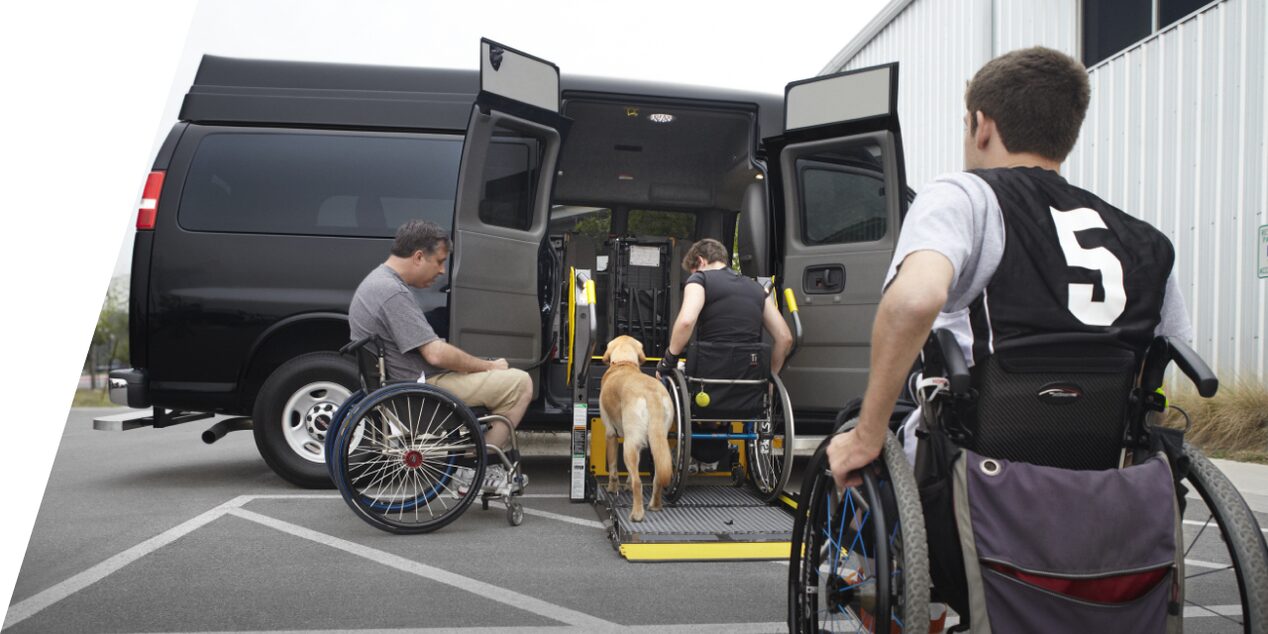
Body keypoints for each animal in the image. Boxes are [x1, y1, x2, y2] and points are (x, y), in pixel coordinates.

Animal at [601, 334, 674, 522]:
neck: (624, 363)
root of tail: (651, 393)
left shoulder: (610, 434)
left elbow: (613, 468)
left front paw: (612, 488)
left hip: (628, 446)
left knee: (638, 482)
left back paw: (637, 514)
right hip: (657, 443)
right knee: (656, 478)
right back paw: (655, 505)